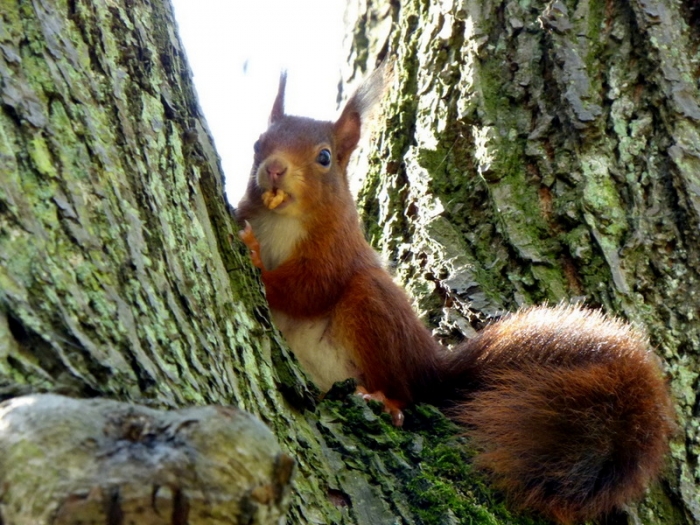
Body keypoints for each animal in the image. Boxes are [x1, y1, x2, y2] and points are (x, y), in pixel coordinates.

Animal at [235, 67, 676, 524]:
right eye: (258, 143)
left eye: (323, 157)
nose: (274, 169)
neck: (282, 221)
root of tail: (430, 368)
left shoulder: (335, 253)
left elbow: (305, 289)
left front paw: (254, 257)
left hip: (373, 307)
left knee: (406, 390)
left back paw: (386, 400)